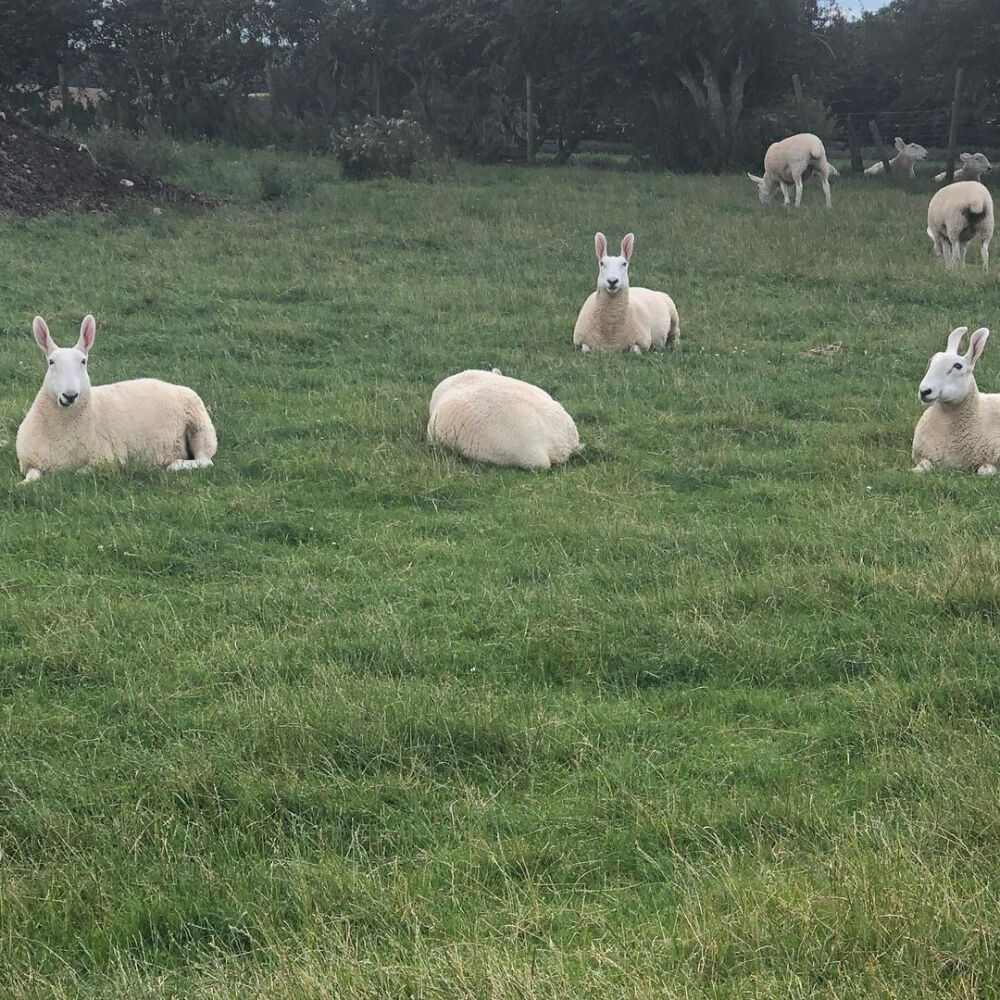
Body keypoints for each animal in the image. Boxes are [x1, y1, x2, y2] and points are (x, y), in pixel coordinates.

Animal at [15, 314, 220, 482]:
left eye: (83, 361)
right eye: (51, 362)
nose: (70, 395)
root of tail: (176, 386)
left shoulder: (108, 460)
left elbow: (81, 472)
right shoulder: (30, 464)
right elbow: (32, 476)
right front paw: (22, 484)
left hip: (200, 428)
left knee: (205, 460)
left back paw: (174, 464)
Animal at [916, 324, 1000, 472]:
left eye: (958, 366)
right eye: (932, 362)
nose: (925, 391)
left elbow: (984, 471)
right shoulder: (926, 455)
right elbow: (923, 467)